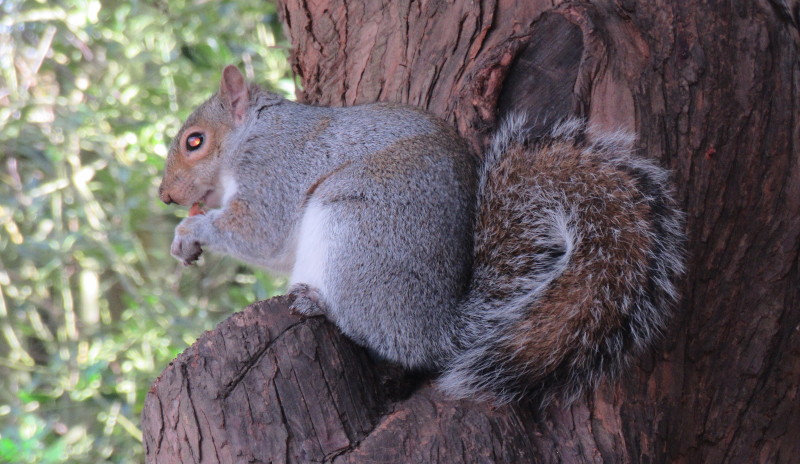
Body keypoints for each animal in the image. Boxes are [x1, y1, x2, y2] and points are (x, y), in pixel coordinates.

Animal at [159, 65, 684, 406]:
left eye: (194, 141)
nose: (165, 197)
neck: (253, 134)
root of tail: (442, 327)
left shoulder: (274, 170)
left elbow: (258, 232)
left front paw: (190, 231)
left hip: (358, 229)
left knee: (382, 335)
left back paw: (319, 302)